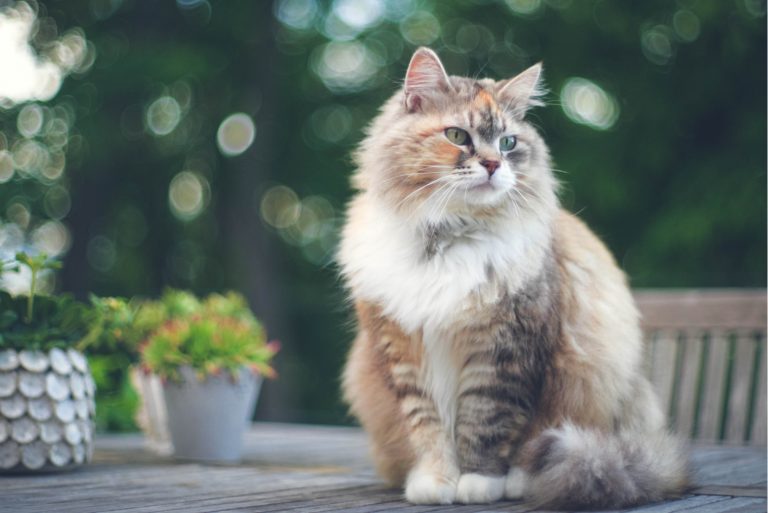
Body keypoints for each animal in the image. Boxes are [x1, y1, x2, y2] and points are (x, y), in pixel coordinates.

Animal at [340, 48, 688, 508]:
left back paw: (523, 480)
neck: (448, 239)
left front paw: (478, 483)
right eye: (457, 135)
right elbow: (430, 429)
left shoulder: (505, 350)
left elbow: (485, 424)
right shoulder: (405, 353)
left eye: (508, 143)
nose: (492, 164)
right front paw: (436, 481)